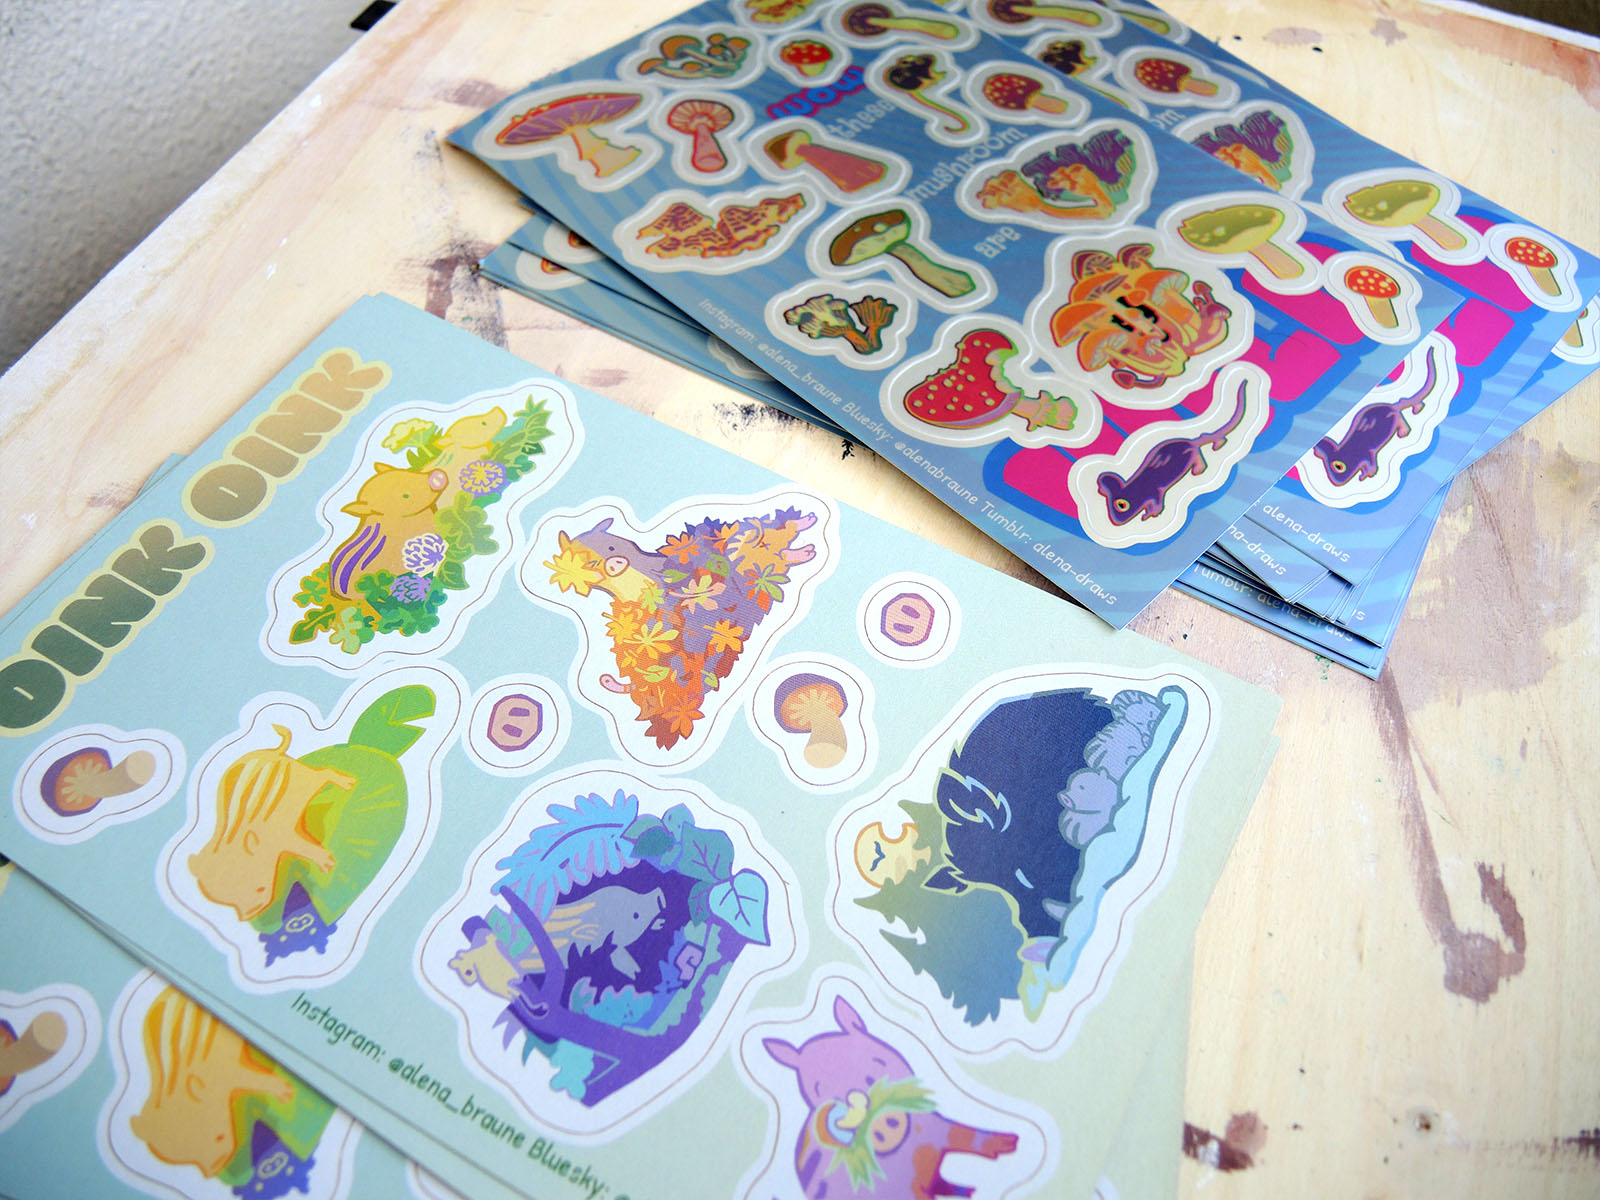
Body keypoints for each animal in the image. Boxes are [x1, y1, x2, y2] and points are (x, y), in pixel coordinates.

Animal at [130, 987, 295, 1177]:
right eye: (190, 1160)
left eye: (219, 1137)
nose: (213, 1169)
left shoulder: (231, 1069)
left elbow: (251, 1077)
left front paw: (285, 1092)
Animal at [188, 725, 355, 921]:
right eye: (230, 903)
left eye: (260, 888)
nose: (248, 916)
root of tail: (274, 752)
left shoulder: (283, 833)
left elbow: (301, 845)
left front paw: (327, 864)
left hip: (304, 776)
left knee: (322, 775)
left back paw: (347, 783)